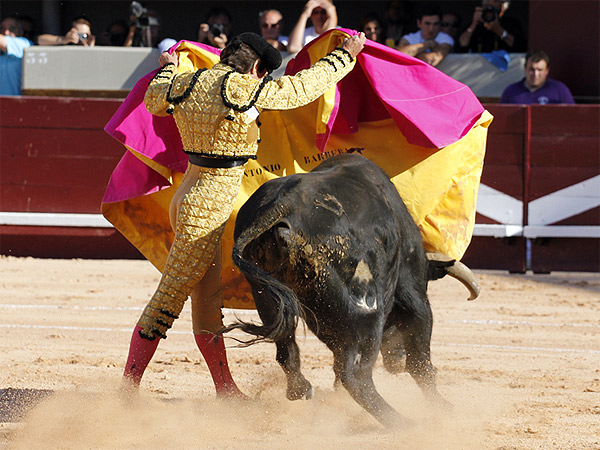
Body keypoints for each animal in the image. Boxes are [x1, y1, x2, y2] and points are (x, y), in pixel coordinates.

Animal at [223, 154, 480, 426]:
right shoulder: (413, 293)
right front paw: (442, 408)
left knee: (288, 351)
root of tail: (282, 206)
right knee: (356, 375)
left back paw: (302, 390)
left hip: (268, 299)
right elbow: (421, 362)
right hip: (367, 313)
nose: (396, 362)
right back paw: (400, 422)